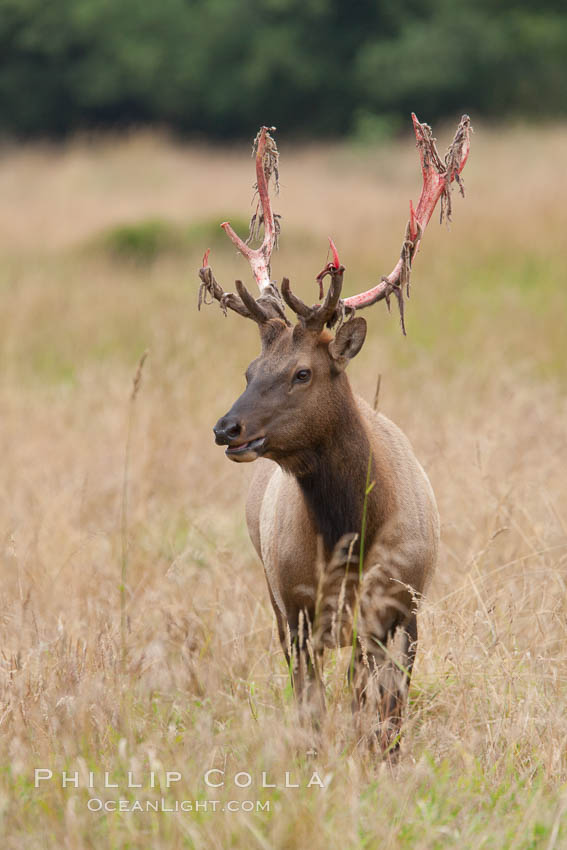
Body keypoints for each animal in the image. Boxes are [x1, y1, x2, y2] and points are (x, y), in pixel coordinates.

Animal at [197, 117, 472, 744]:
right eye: (249, 370)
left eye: (303, 372)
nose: (227, 428)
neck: (354, 536)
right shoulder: (297, 606)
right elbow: (315, 707)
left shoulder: (404, 607)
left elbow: (388, 713)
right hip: (277, 597)